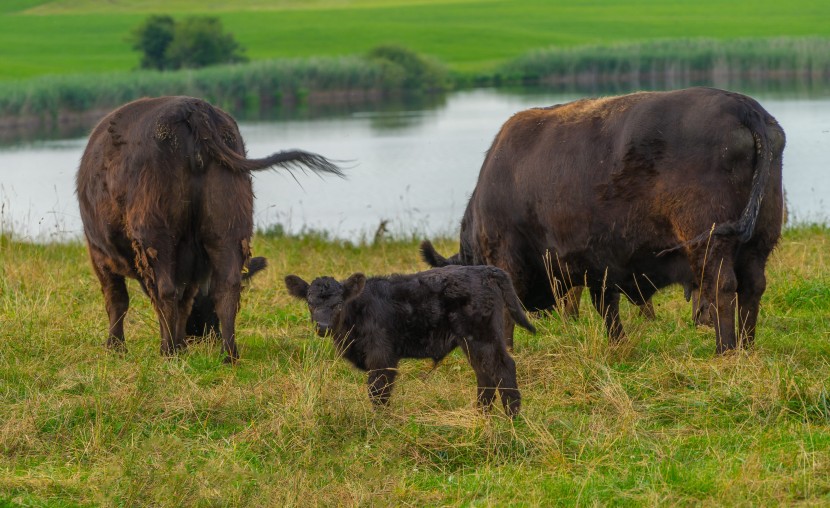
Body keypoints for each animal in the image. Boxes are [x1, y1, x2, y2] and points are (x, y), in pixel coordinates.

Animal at [75, 95, 342, 364]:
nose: (203, 335)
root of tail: (192, 108)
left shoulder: (98, 253)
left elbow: (118, 299)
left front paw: (116, 347)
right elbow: (183, 300)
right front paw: (178, 344)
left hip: (156, 232)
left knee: (165, 290)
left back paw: (168, 352)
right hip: (229, 226)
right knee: (227, 287)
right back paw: (228, 353)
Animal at [282, 266, 536, 416]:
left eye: (337, 304)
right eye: (310, 303)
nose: (322, 326)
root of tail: (484, 270)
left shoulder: (382, 356)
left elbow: (378, 391)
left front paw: (380, 425)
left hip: (484, 335)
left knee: (503, 368)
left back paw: (512, 419)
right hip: (470, 341)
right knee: (484, 373)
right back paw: (481, 417)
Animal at [422, 86, 788, 354]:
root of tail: (744, 107)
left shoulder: (508, 259)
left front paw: (508, 350)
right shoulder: (600, 266)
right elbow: (608, 309)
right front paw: (618, 344)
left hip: (710, 241)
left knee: (722, 287)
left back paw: (726, 349)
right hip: (758, 241)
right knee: (752, 287)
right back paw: (747, 347)